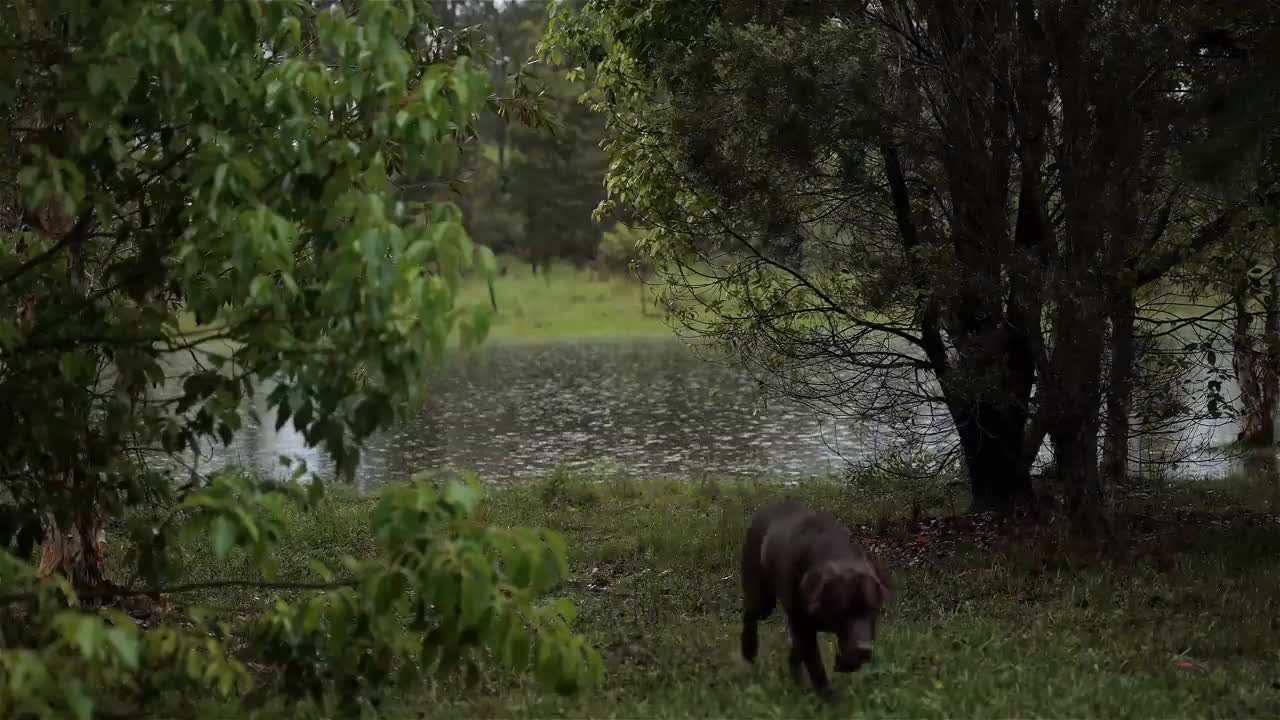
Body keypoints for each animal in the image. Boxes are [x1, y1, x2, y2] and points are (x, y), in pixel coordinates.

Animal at [742, 499, 890, 696]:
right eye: (843, 611)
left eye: (872, 610)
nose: (864, 649)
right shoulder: (803, 626)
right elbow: (816, 665)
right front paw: (828, 696)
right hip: (762, 600)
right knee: (750, 614)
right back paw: (749, 649)